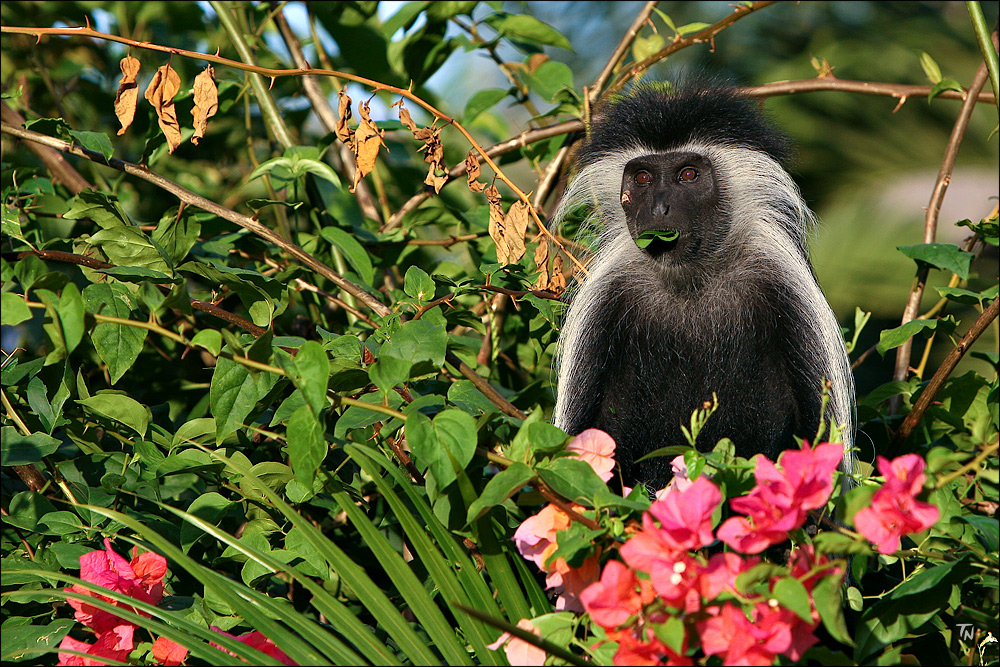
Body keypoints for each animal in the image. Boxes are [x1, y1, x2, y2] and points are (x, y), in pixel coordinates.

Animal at [552, 85, 856, 490]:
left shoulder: (787, 290)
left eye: (688, 174)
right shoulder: (606, 300)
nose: (659, 208)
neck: (692, 281)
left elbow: (814, 428)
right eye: (643, 179)